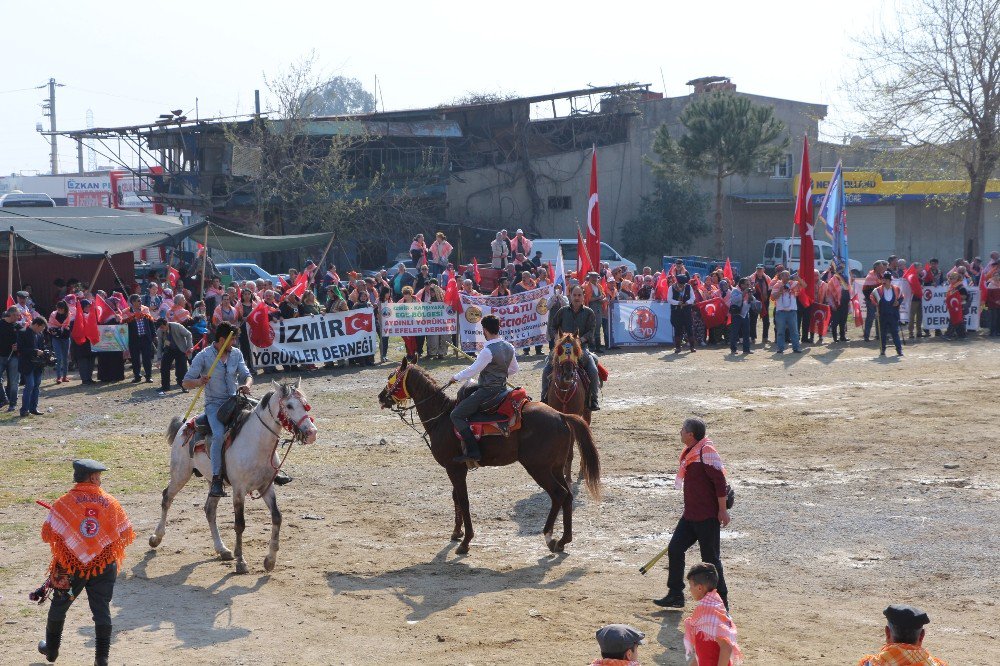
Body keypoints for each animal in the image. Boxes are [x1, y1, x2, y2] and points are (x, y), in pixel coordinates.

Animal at [148, 378, 318, 572]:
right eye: (289, 405)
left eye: (305, 404)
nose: (312, 433)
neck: (256, 443)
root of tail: (185, 424)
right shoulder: (239, 490)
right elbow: (239, 524)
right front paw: (241, 561)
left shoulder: (266, 487)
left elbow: (277, 517)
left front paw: (270, 560)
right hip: (180, 474)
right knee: (167, 498)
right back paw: (156, 537)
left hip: (213, 482)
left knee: (209, 510)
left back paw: (222, 549)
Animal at [376, 358, 600, 556]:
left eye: (391, 377)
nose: (380, 396)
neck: (442, 418)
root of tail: (561, 416)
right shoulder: (458, 469)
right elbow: (456, 497)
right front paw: (456, 533)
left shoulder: (454, 468)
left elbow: (464, 500)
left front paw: (465, 542)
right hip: (555, 467)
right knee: (567, 496)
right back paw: (563, 541)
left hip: (539, 469)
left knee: (558, 495)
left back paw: (549, 537)